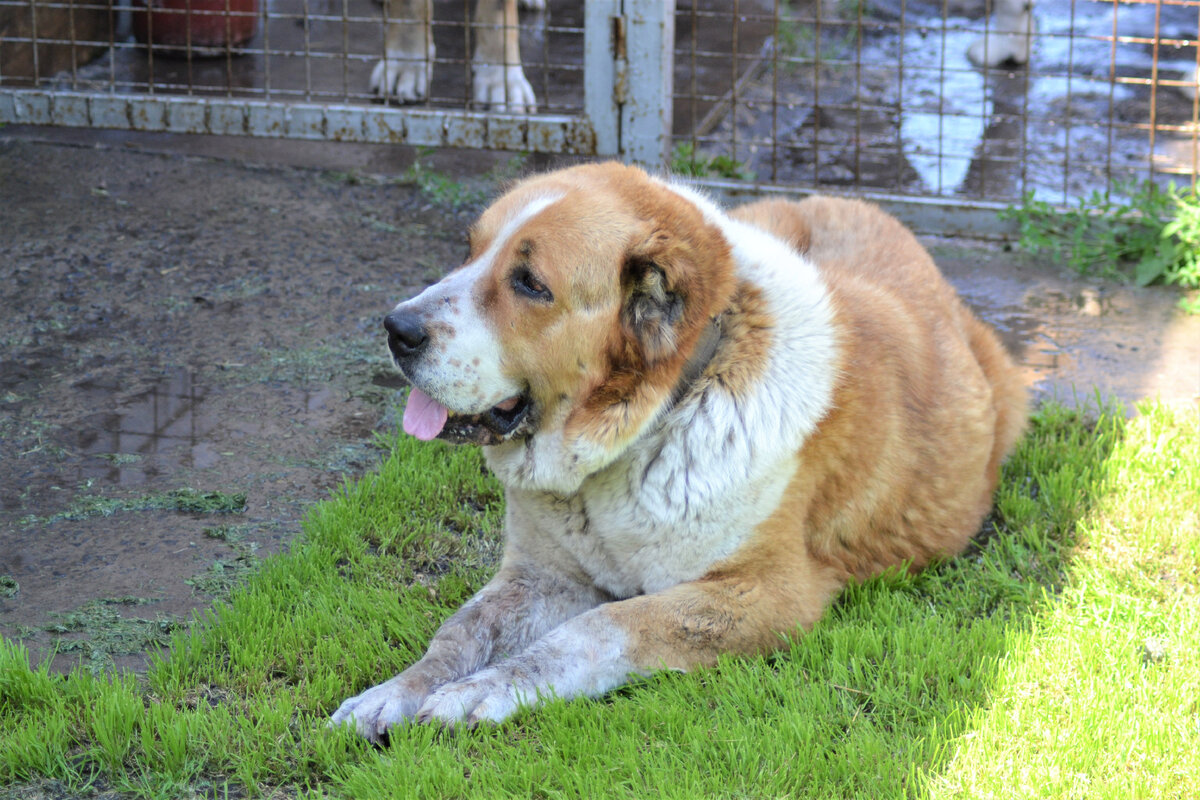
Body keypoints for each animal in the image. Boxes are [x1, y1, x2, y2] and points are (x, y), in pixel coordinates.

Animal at [328, 160, 1022, 738]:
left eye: (529, 283)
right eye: (470, 251)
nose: (397, 329)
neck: (658, 417)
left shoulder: (765, 595)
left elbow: (600, 627)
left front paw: (488, 690)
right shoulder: (542, 574)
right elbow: (461, 629)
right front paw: (393, 693)